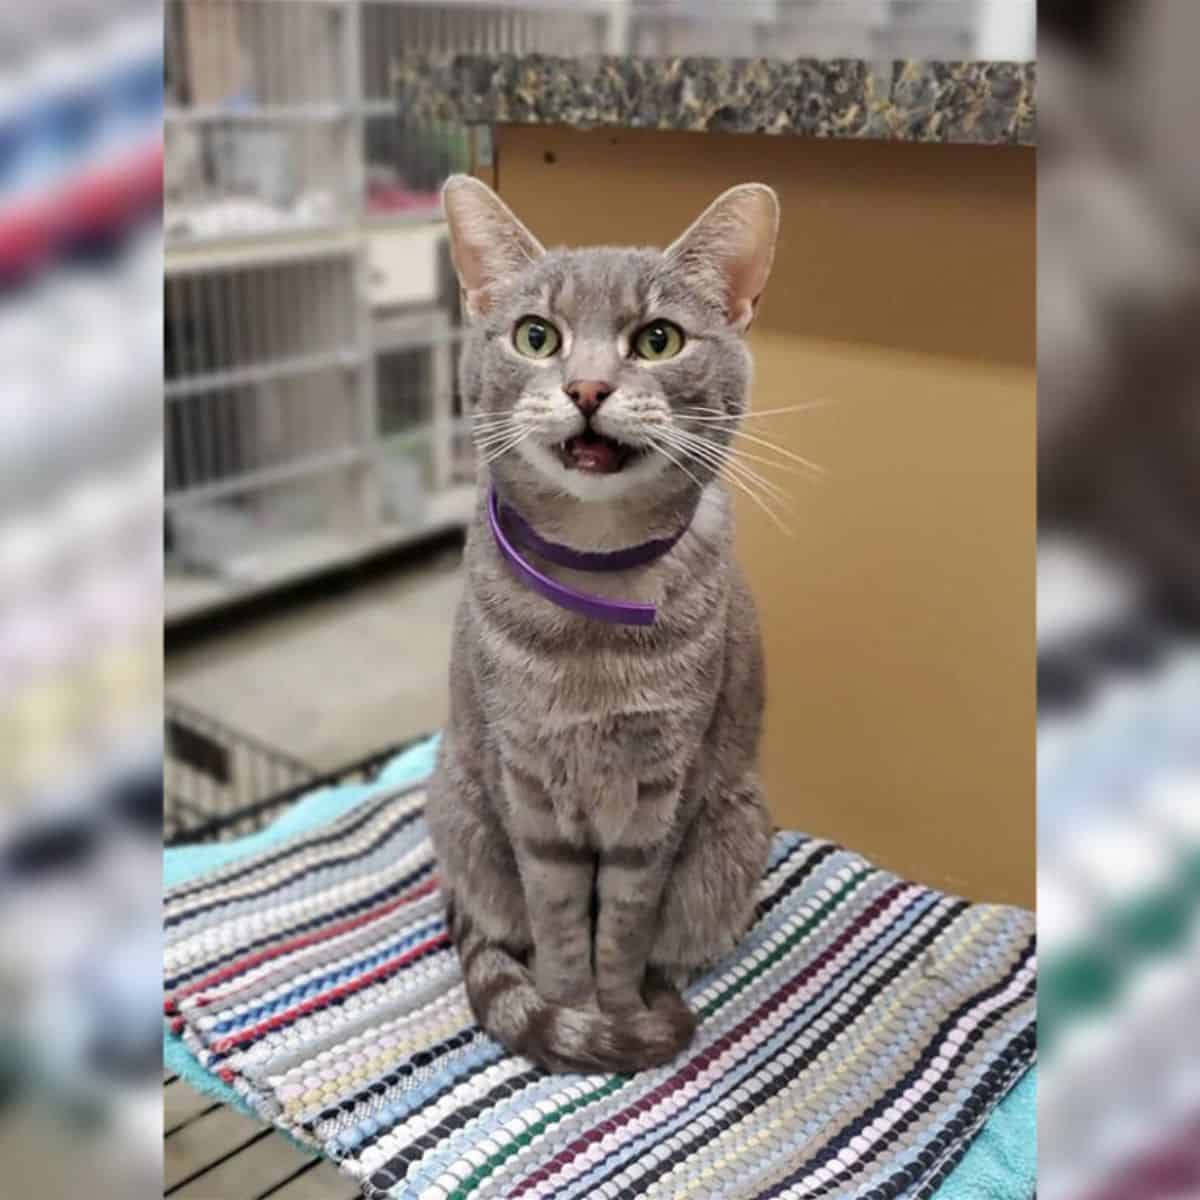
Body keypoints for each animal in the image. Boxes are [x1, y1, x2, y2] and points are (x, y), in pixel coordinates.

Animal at [429, 174, 777, 1075]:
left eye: (657, 340)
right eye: (536, 336)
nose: (587, 389)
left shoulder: (664, 787)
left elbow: (624, 921)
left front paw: (616, 1014)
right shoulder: (525, 780)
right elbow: (556, 917)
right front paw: (571, 1010)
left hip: (733, 835)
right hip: (461, 810)